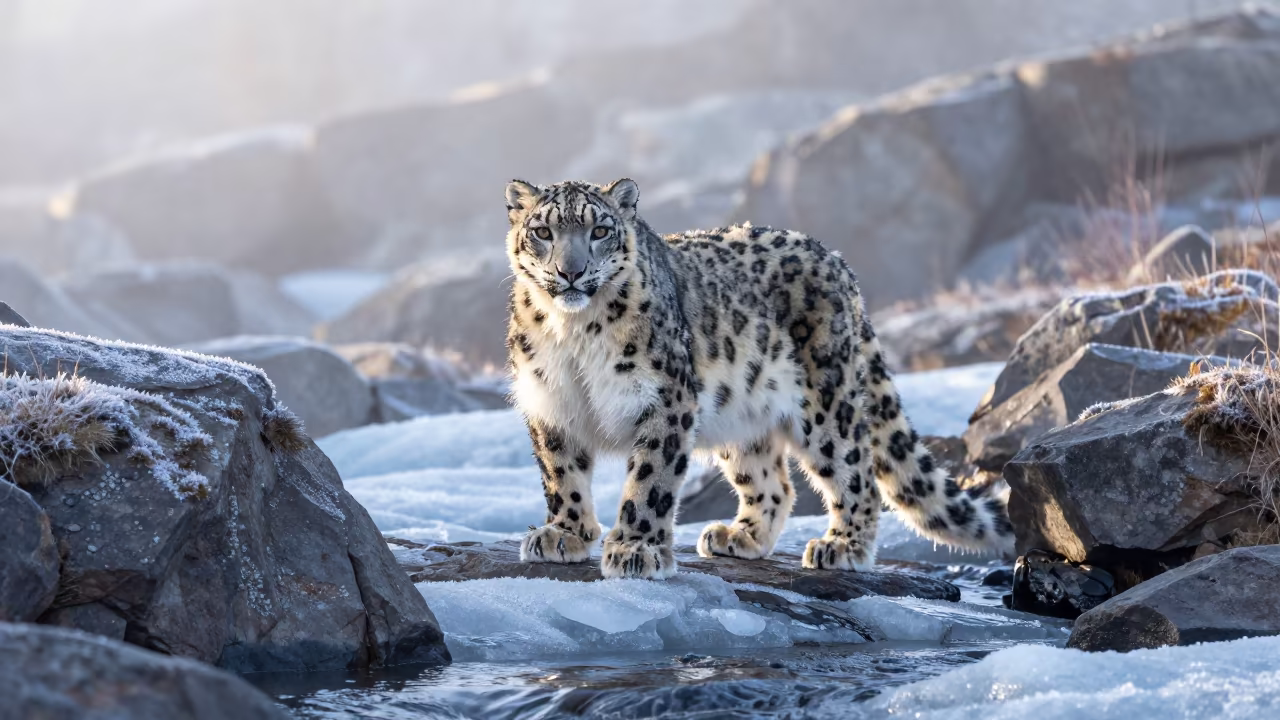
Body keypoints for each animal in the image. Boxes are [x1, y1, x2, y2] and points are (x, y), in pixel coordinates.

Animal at [503, 177, 1015, 580]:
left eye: (601, 231)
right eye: (543, 232)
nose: (570, 272)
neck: (574, 331)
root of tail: (837, 260)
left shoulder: (666, 401)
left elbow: (650, 480)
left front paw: (636, 548)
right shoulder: (550, 402)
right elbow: (561, 473)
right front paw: (563, 534)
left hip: (827, 403)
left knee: (857, 471)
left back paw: (842, 545)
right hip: (742, 414)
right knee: (774, 485)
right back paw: (739, 536)